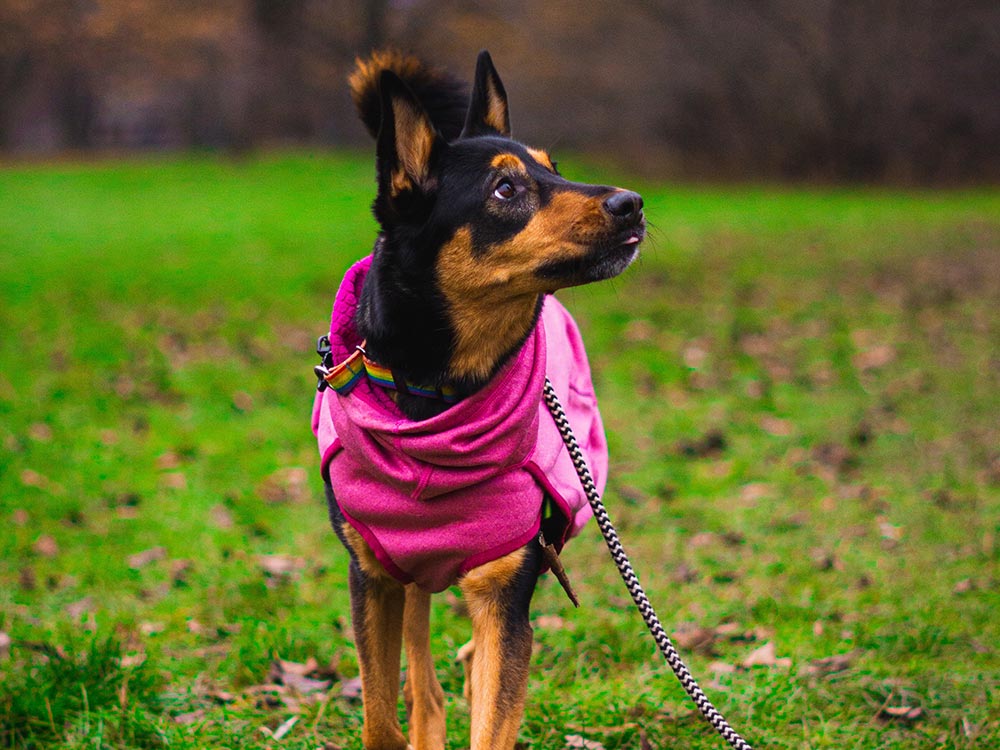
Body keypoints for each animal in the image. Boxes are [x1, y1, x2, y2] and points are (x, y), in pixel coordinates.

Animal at [308, 50, 644, 748]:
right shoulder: (373, 578)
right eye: (505, 191)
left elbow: (493, 714)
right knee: (423, 681)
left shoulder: (503, 592)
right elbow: (381, 719)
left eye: (554, 167)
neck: (437, 394)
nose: (632, 203)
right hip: (409, 579)